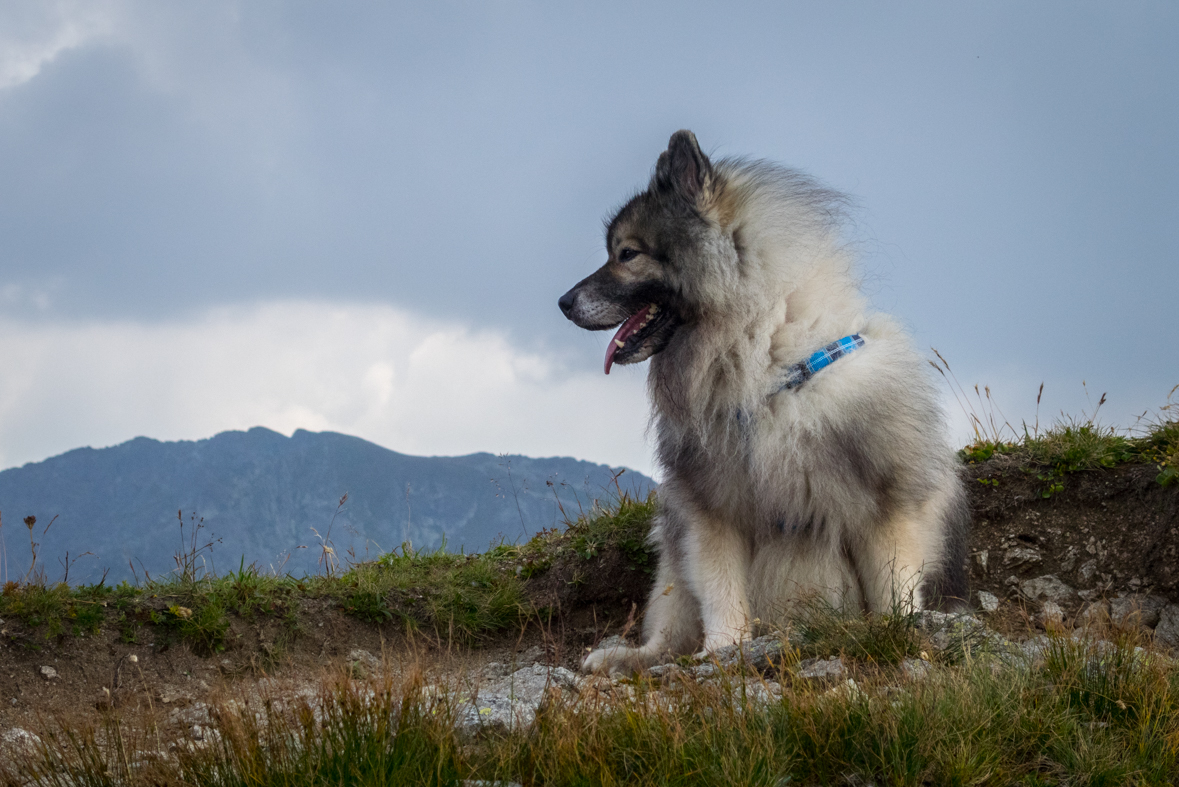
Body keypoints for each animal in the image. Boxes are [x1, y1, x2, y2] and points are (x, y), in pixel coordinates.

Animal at [558, 131, 966, 673]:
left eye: (627, 253)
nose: (562, 303)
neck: (765, 366)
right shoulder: (710, 511)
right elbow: (722, 594)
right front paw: (723, 651)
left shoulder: (884, 506)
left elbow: (893, 588)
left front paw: (903, 635)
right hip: (672, 554)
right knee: (668, 637)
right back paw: (623, 658)